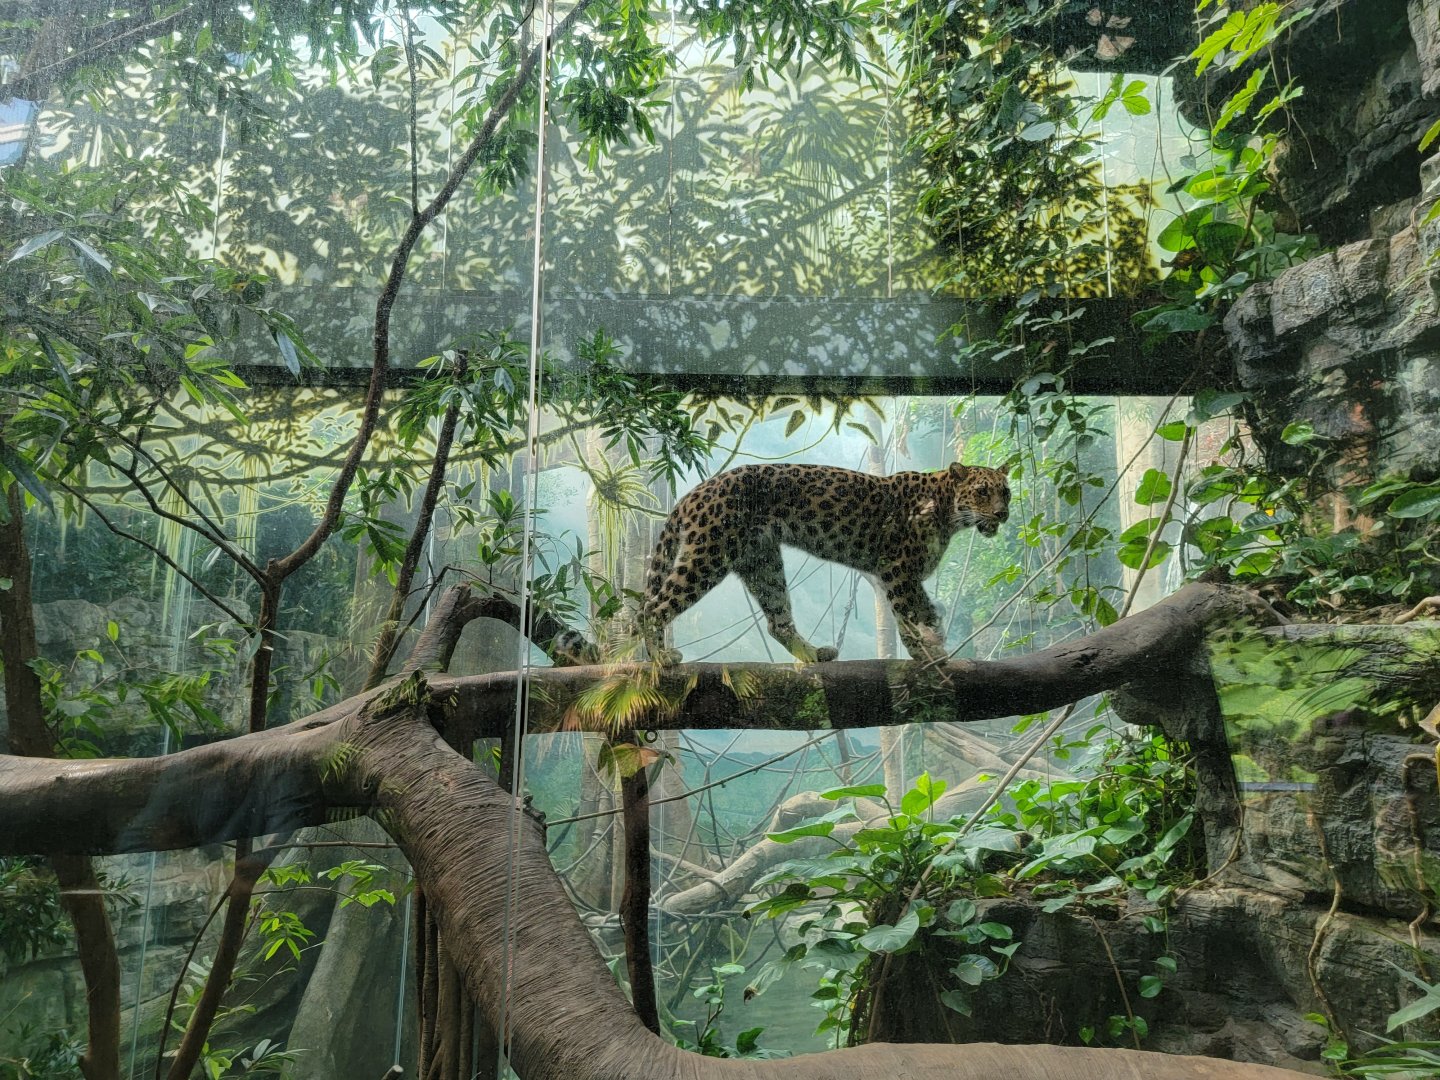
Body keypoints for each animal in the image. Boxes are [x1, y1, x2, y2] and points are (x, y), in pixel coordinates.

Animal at [636, 462, 1010, 665]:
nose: (1002, 513)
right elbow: (907, 615)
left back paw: (814, 654)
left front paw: (934, 641)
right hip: (709, 555)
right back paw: (660, 658)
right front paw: (926, 656)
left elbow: (924, 611)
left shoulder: (907, 575)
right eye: (982, 491)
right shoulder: (897, 568)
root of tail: (692, 493)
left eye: (1005, 492)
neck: (949, 512)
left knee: (778, 621)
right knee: (653, 607)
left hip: (762, 561)